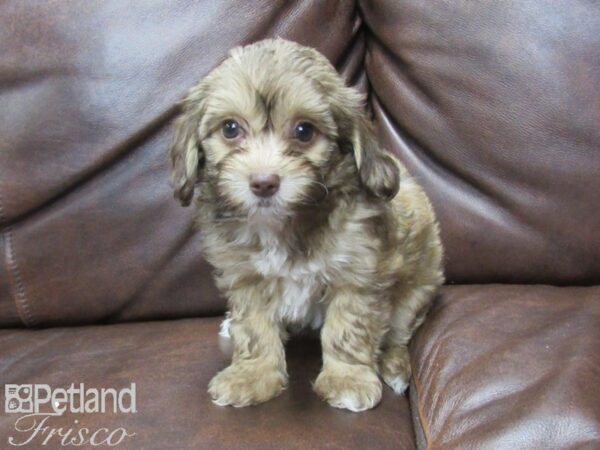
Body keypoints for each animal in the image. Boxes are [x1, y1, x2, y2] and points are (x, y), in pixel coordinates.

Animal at [169, 38, 440, 412]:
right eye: (230, 128)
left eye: (304, 131)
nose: (264, 182)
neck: (284, 223)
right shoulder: (245, 277)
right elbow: (254, 329)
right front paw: (252, 375)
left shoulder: (358, 276)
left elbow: (348, 328)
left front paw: (347, 379)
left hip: (418, 287)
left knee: (398, 333)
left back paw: (394, 368)